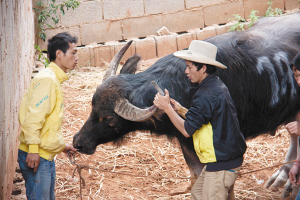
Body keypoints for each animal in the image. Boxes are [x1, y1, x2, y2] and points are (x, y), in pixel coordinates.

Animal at [72, 11, 300, 198]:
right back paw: (283, 176)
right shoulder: (187, 145)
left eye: (109, 118)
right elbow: (195, 179)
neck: (185, 86)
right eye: (92, 106)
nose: (78, 142)